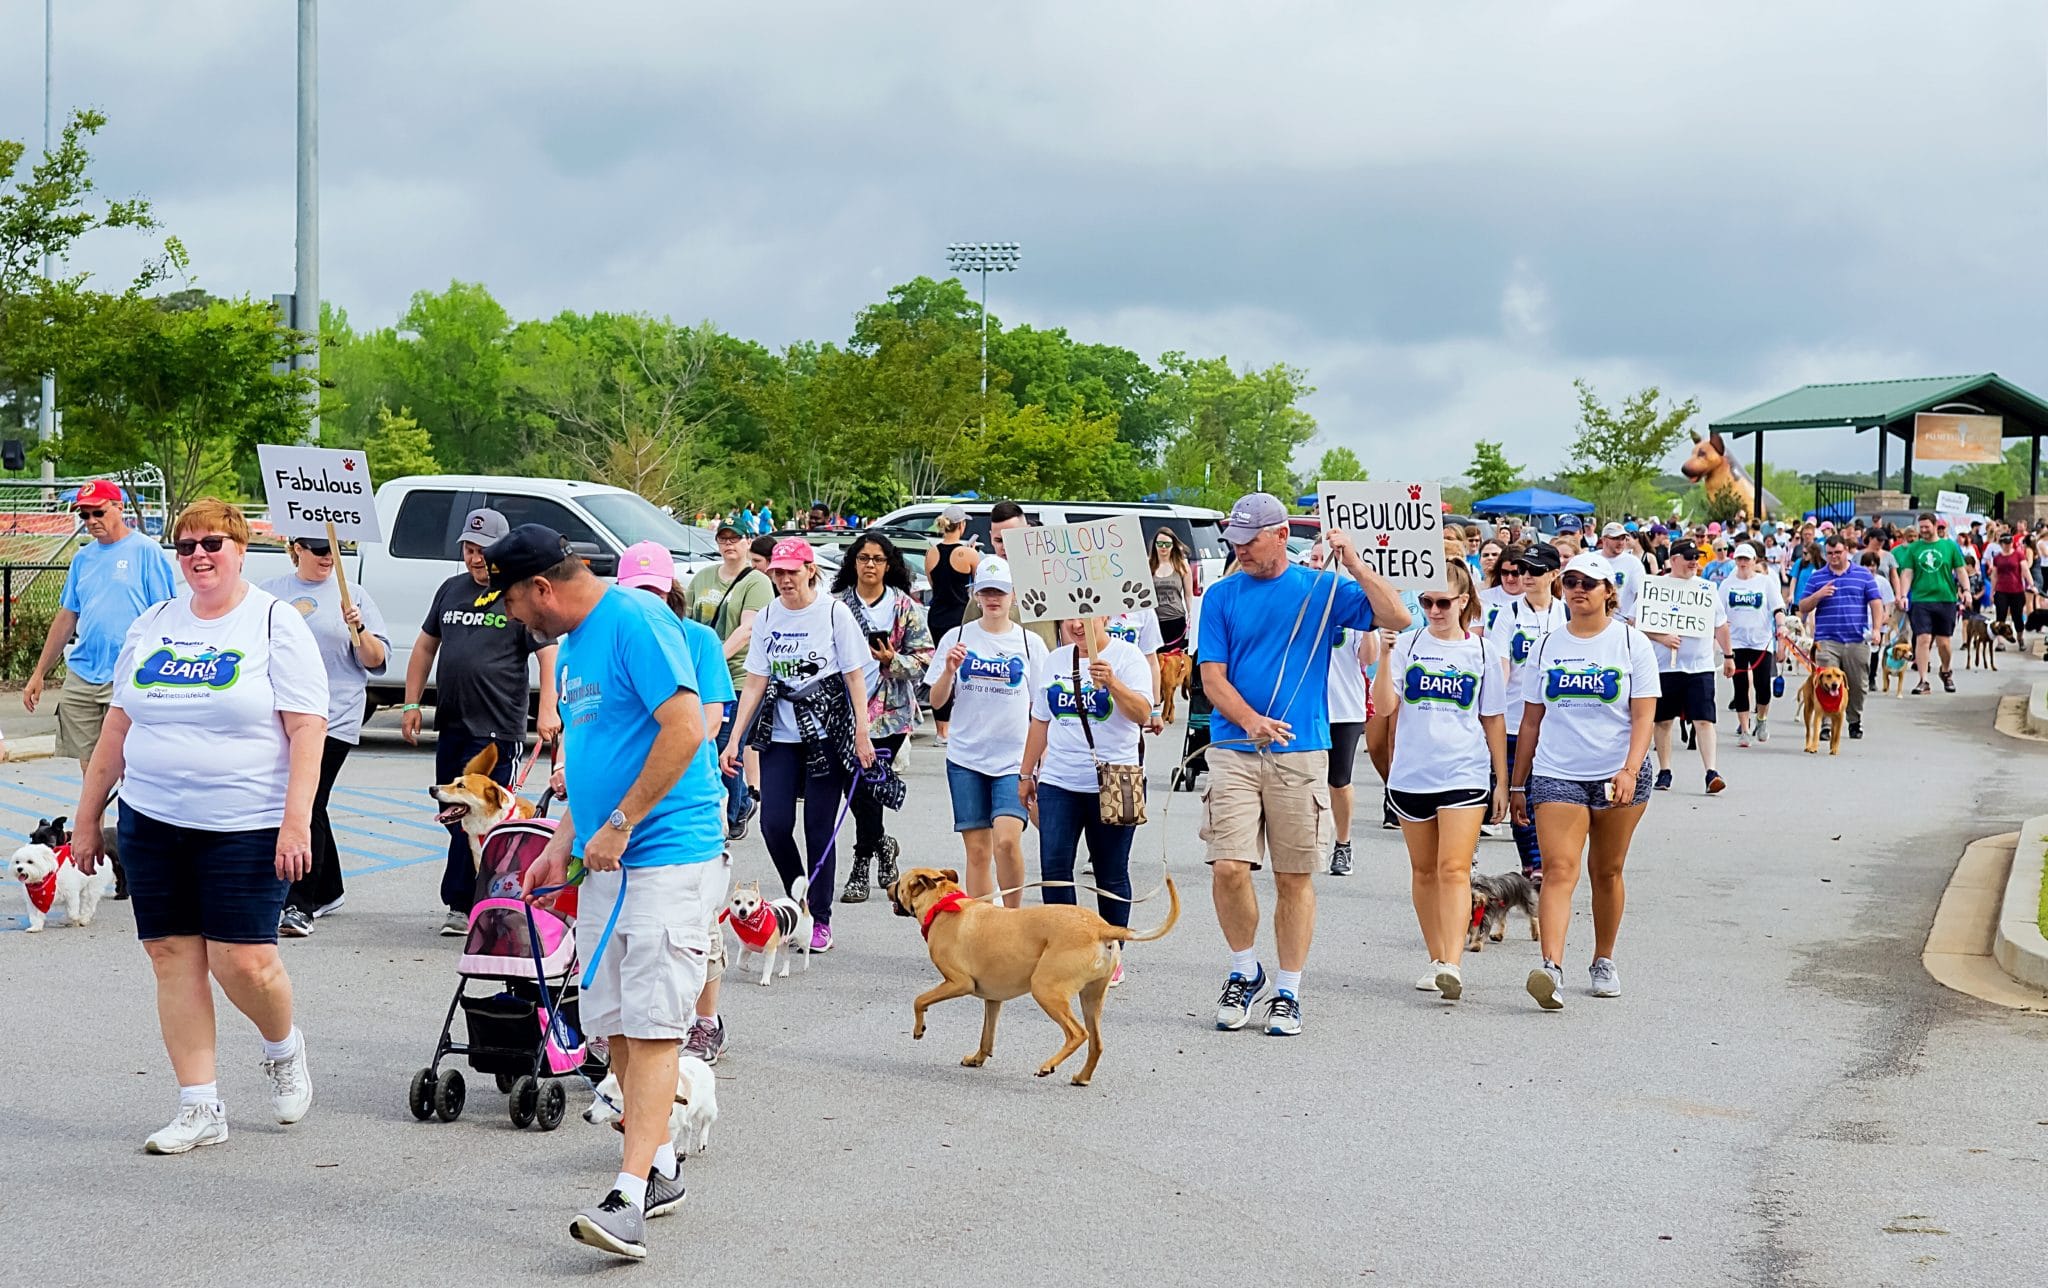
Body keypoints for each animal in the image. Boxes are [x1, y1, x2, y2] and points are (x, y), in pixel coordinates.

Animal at [585, 1056, 720, 1154]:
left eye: (608, 1098)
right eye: (595, 1096)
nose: (585, 1115)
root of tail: (699, 1061)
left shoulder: (670, 1130)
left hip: (705, 1108)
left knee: (706, 1122)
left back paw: (702, 1141)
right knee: (688, 1126)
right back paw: (683, 1148)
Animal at [884, 864, 1187, 1081]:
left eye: (899, 882)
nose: (887, 884)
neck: (943, 904)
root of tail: (1101, 927)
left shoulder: (958, 983)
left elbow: (919, 1000)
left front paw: (919, 1029)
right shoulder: (993, 999)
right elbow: (987, 1036)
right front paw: (978, 1058)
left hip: (1046, 990)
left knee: (1077, 1034)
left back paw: (1048, 1066)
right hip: (1091, 999)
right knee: (1097, 1043)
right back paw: (1082, 1077)